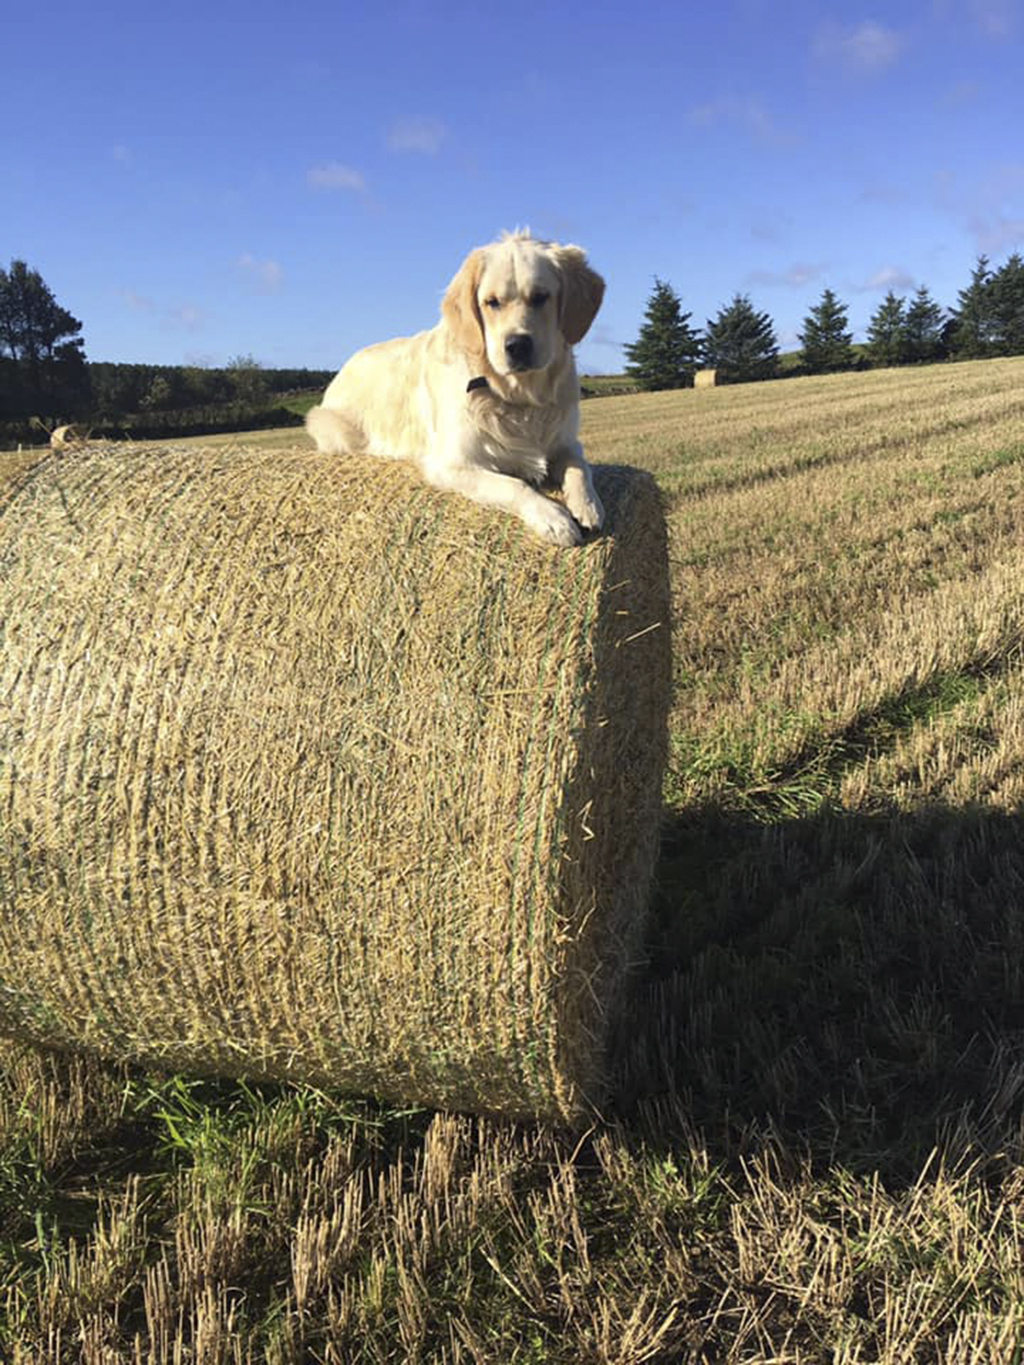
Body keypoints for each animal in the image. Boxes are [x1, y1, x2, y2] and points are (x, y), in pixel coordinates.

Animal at [308, 229, 606, 543]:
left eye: (540, 297)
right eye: (492, 302)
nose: (517, 346)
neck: (519, 398)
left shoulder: (567, 442)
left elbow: (579, 467)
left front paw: (588, 505)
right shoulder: (452, 464)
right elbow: (514, 485)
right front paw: (553, 518)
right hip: (333, 429)